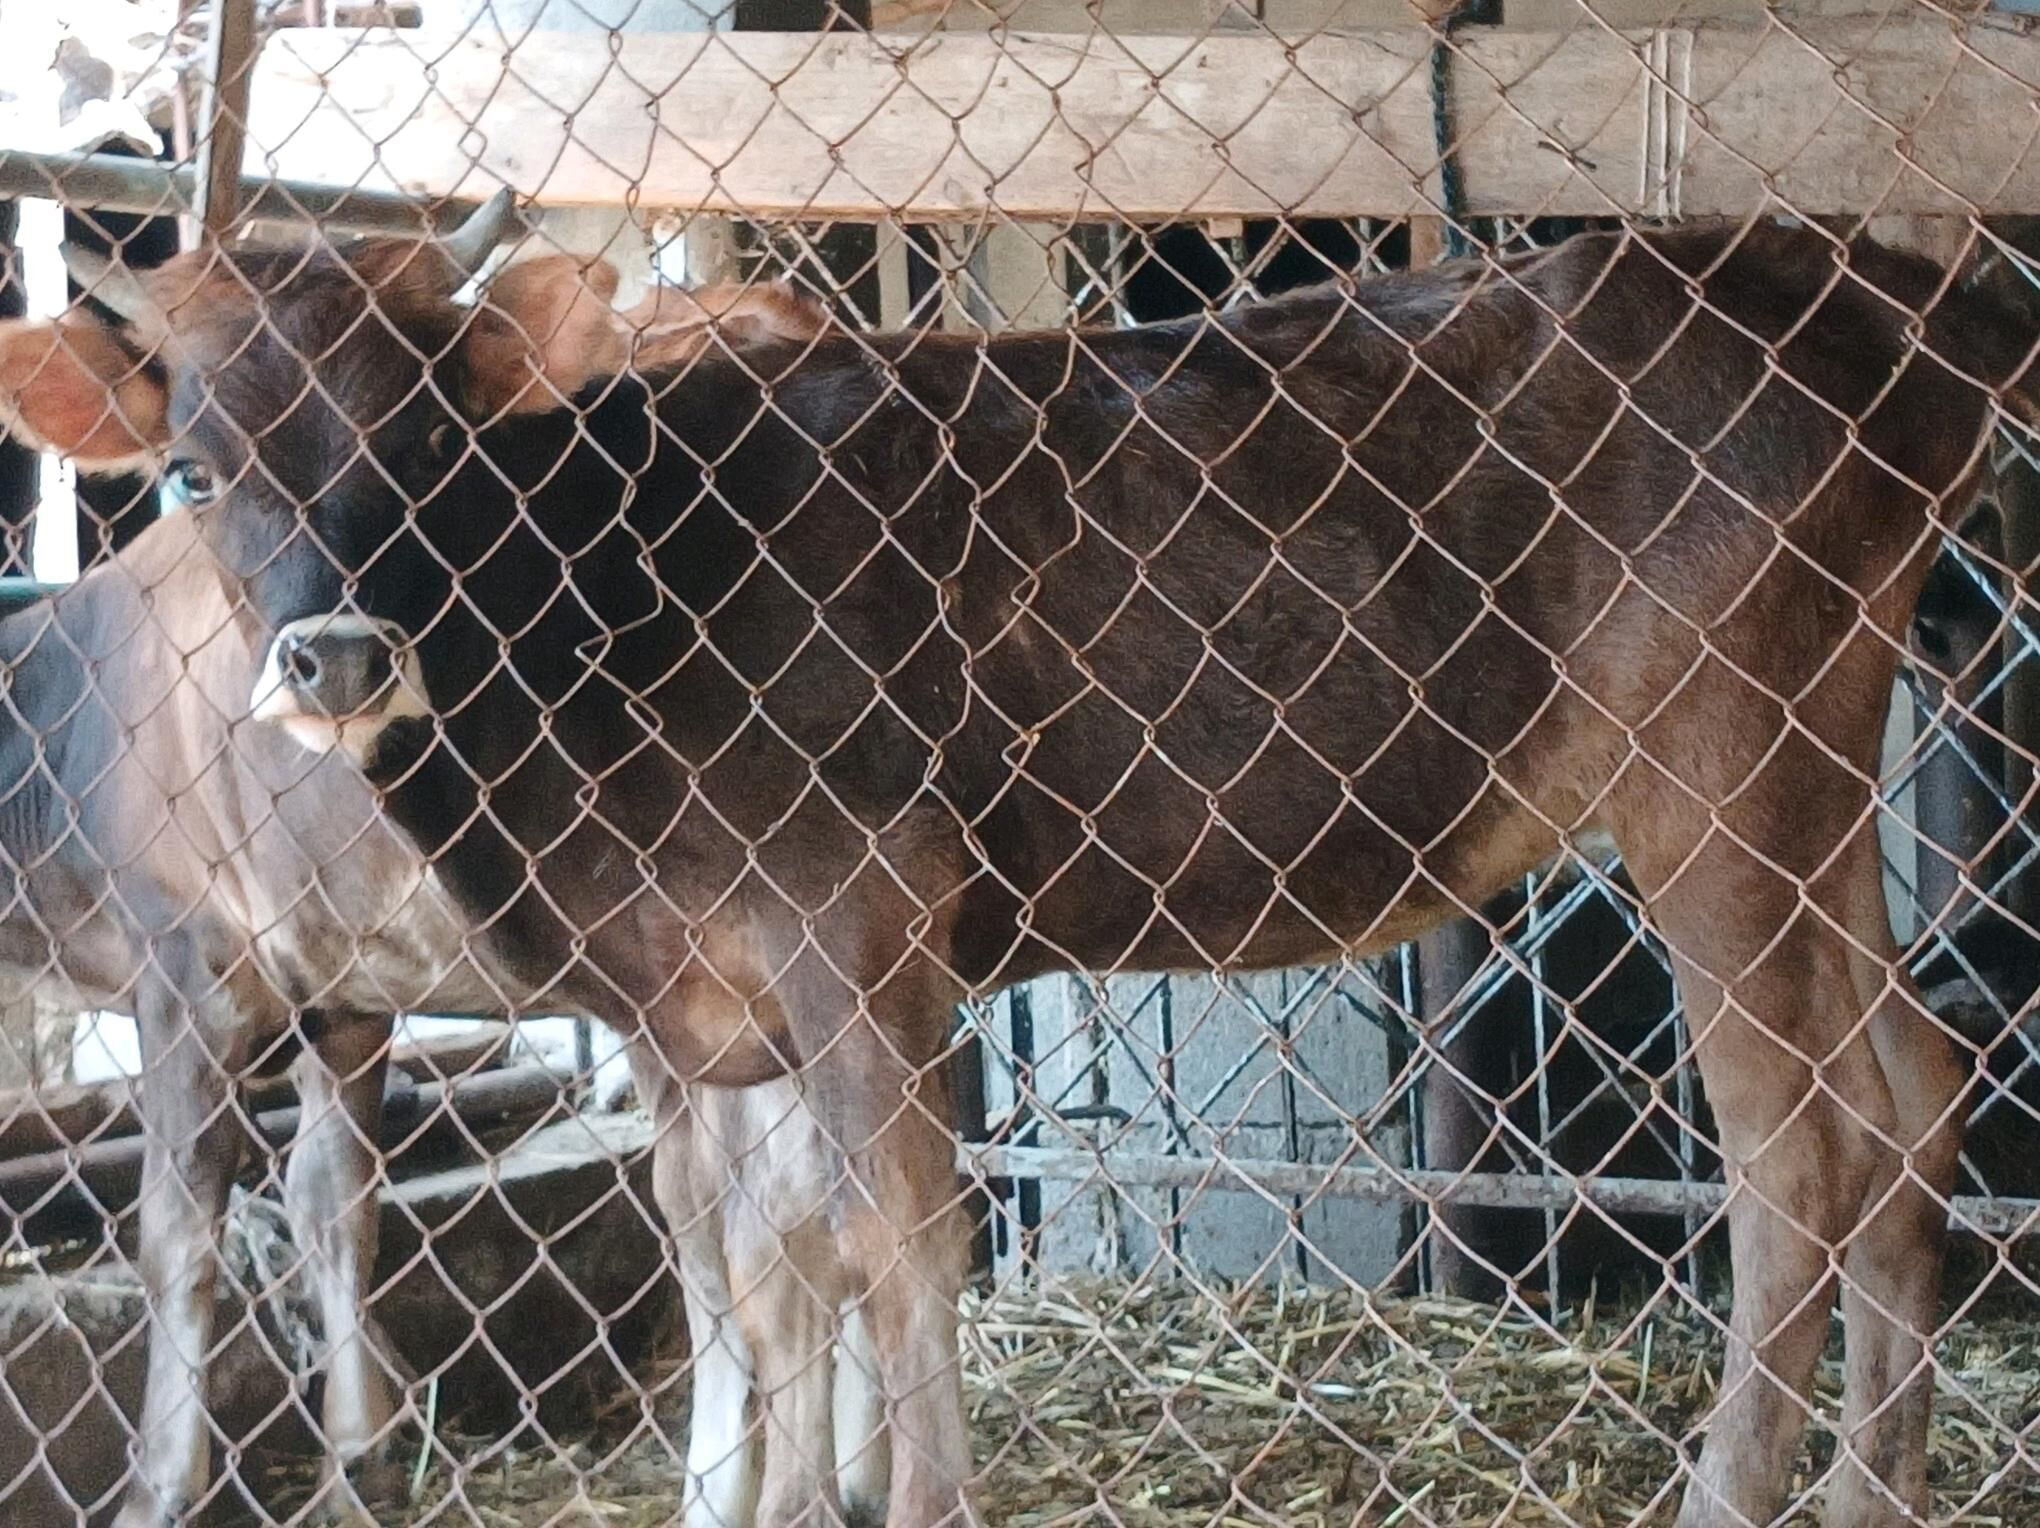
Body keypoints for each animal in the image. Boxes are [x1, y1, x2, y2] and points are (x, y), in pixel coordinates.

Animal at [3, 202, 2040, 1525]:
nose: (340, 655)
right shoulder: (686, 997)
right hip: (1812, 773)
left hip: (1715, 759)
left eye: (433, 442)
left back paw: (1744, 1490)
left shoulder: (857, 924)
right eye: (195, 466)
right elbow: (757, 1264)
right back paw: (1872, 1494)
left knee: (1794, 1155)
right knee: (1915, 1085)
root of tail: (1889, 296)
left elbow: (902, 1246)